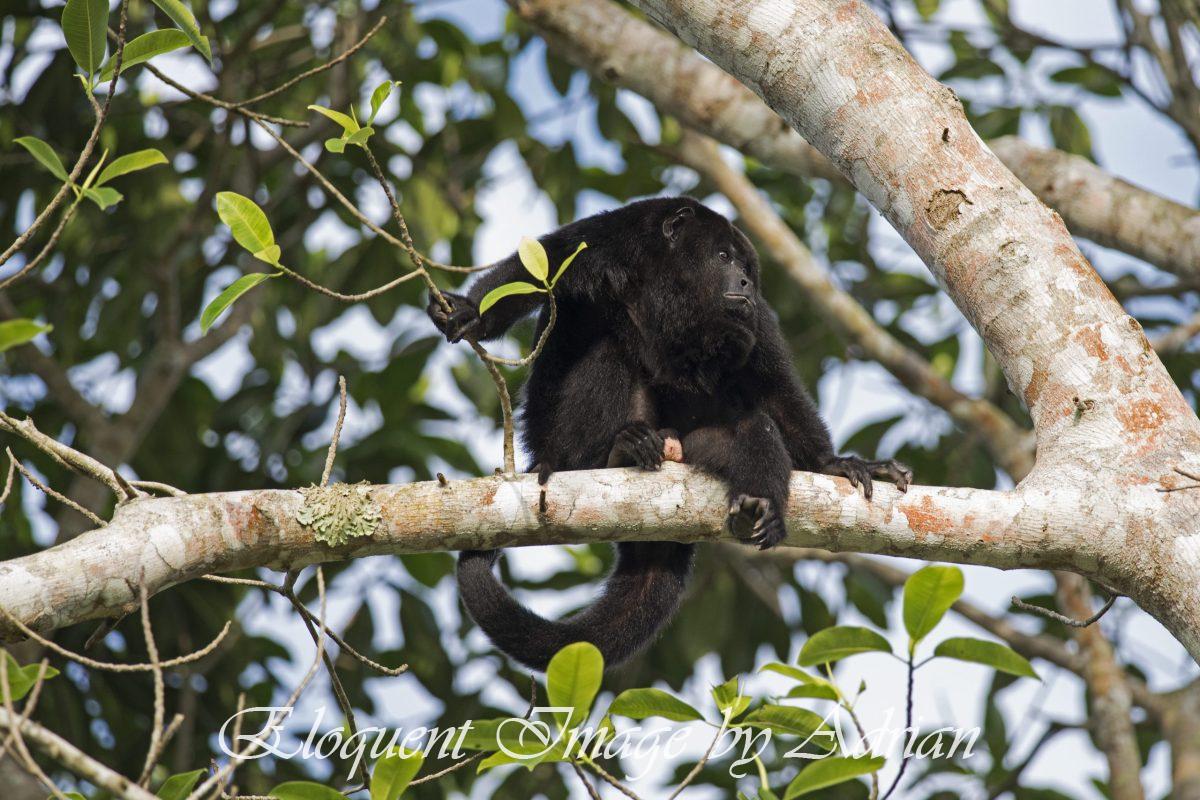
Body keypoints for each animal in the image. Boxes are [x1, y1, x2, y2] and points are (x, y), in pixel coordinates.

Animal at [427, 197, 910, 671]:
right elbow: (537, 267)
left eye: (747, 268)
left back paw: (758, 504)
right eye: (723, 257)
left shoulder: (755, 316)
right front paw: (470, 312)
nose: (744, 281)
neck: (670, 289)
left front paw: (835, 463)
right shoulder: (613, 241)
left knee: (754, 427)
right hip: (562, 445)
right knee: (607, 352)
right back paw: (618, 452)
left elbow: (775, 390)